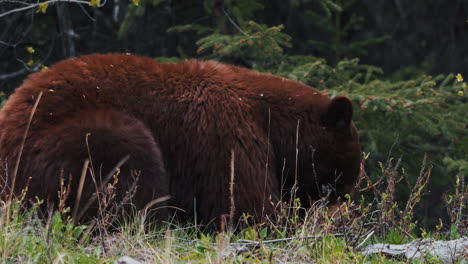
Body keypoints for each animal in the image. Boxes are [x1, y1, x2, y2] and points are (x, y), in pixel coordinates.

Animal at [0, 54, 362, 227]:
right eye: (344, 170)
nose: (341, 198)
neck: (271, 121)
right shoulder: (228, 135)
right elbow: (244, 203)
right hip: (70, 141)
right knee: (131, 165)